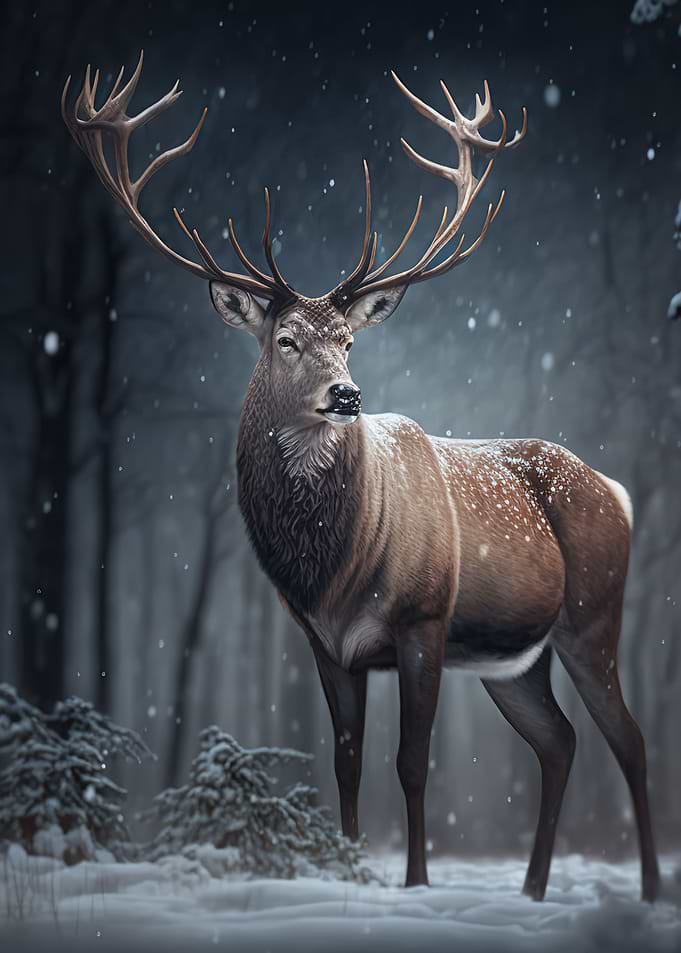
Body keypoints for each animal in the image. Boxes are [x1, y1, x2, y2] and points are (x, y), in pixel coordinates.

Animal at [61, 52, 660, 902]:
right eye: (285, 337)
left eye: (348, 339)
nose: (346, 394)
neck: (333, 566)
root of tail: (617, 491)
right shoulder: (323, 641)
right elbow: (345, 765)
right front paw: (345, 874)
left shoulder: (423, 618)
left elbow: (409, 765)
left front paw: (414, 884)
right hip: (515, 660)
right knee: (560, 741)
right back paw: (532, 890)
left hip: (591, 615)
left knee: (629, 740)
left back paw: (645, 890)